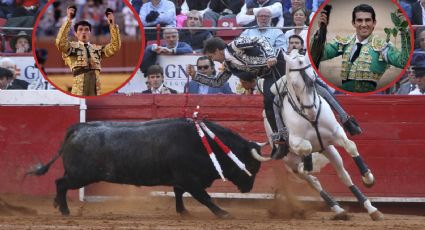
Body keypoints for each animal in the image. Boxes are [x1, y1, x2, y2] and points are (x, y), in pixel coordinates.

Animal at [30, 118, 268, 217]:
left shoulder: (181, 179)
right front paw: (223, 213)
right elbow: (204, 197)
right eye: (252, 165)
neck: (204, 143)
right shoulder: (190, 179)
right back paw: (65, 210)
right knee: (60, 183)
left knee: (60, 183)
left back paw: (57, 204)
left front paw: (183, 212)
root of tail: (78, 128)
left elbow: (179, 193)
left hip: (76, 173)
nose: (248, 188)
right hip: (81, 175)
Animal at [260, 50, 382, 221]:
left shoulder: (336, 133)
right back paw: (337, 208)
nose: (311, 111)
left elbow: (351, 146)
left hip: (329, 150)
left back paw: (370, 209)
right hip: (290, 161)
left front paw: (368, 178)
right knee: (313, 181)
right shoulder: (295, 142)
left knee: (343, 175)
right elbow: (306, 147)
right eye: (295, 84)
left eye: (313, 80)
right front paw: (307, 164)